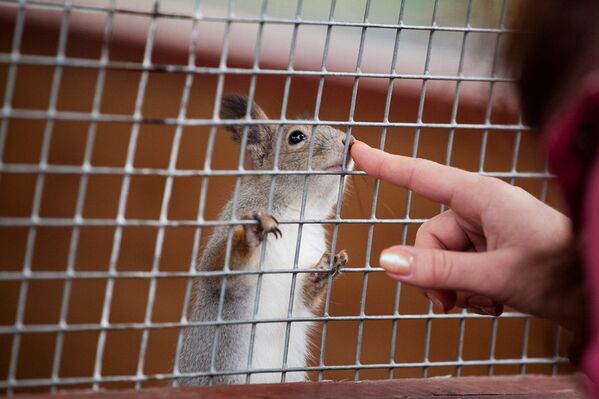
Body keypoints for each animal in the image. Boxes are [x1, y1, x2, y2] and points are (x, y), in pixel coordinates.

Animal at [178, 95, 356, 386]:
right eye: (296, 137)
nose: (348, 141)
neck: (297, 213)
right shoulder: (236, 218)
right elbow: (221, 272)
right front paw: (250, 237)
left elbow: (305, 298)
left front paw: (325, 269)